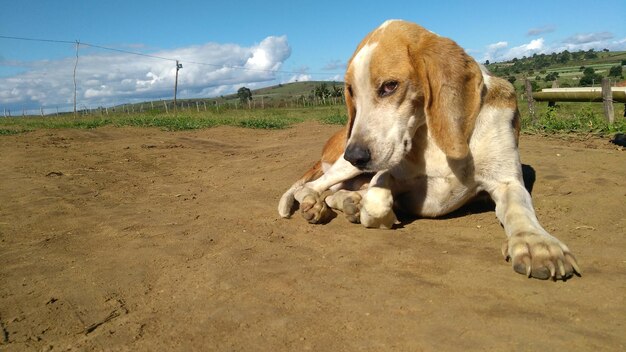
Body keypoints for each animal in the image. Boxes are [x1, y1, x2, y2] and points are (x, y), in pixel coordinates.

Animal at [276, 20, 576, 280]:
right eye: (350, 92)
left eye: (389, 86)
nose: (356, 155)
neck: (432, 137)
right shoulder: (386, 174)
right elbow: (376, 201)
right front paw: (380, 215)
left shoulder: (507, 181)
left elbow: (519, 210)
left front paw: (536, 244)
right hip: (341, 167)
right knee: (312, 187)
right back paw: (317, 204)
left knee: (334, 192)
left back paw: (346, 203)